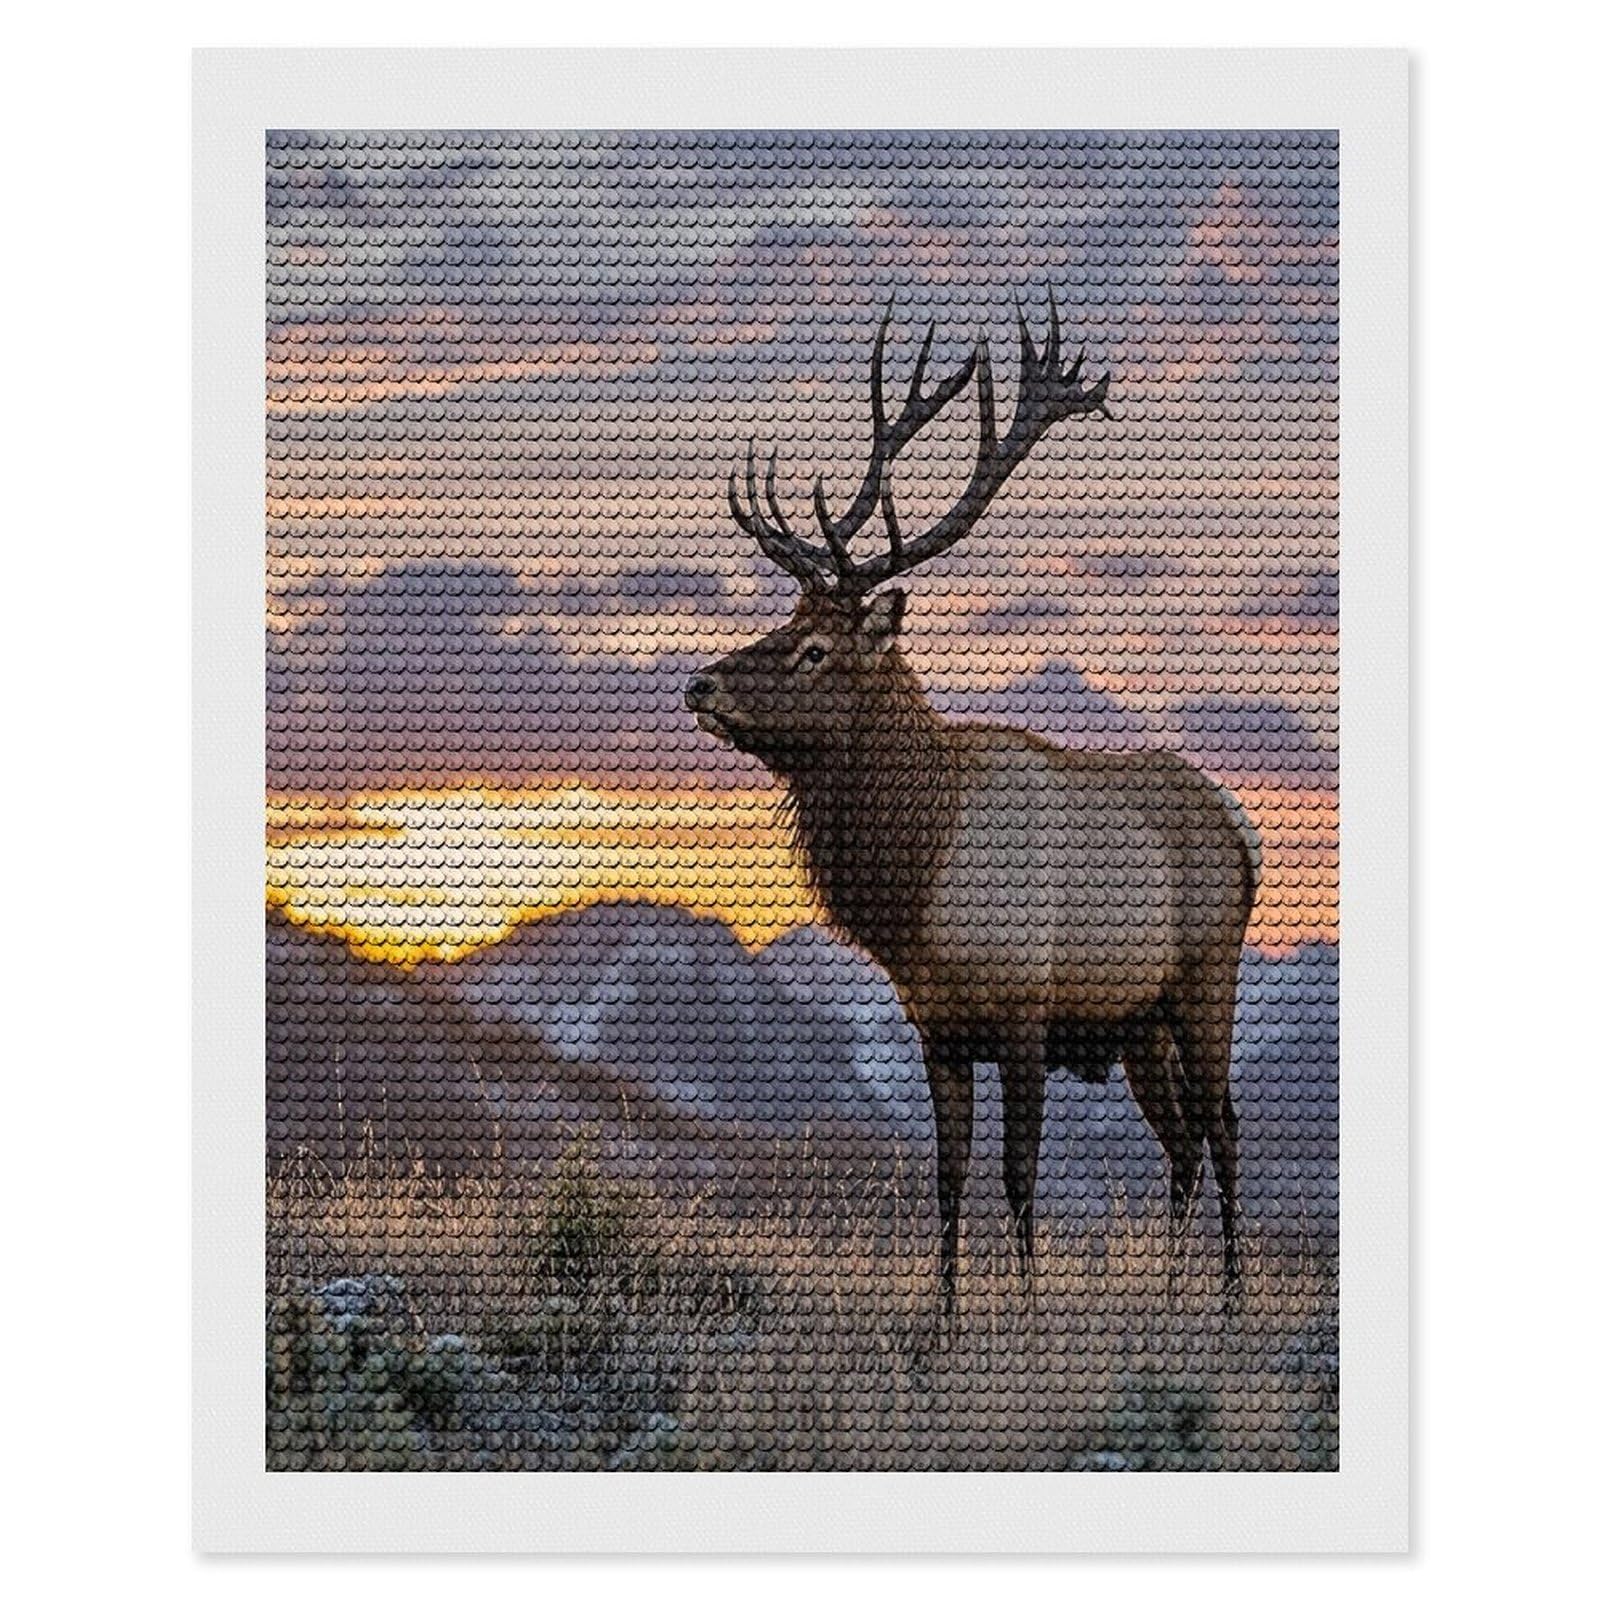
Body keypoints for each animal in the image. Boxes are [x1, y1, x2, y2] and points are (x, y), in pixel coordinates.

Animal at [684, 296, 1261, 1315]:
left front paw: (1023, 1319)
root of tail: (1241, 828)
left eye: (814, 652)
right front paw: (943, 1320)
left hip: (1203, 980)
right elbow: (949, 1180)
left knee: (1224, 1129)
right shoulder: (940, 1031)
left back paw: (1228, 1303)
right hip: (1138, 1022)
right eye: (782, 624)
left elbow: (1018, 1176)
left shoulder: (1027, 1010)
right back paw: (1167, 1294)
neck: (917, 888)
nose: (699, 683)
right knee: (1183, 1144)